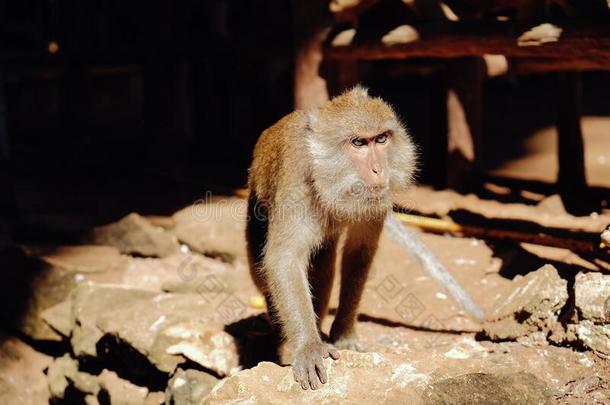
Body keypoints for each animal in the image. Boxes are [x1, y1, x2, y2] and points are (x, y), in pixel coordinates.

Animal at [246, 87, 480, 390]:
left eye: (380, 139)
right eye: (358, 143)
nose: (379, 170)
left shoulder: (376, 200)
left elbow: (359, 253)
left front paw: (343, 335)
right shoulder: (297, 179)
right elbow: (284, 260)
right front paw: (308, 346)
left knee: (323, 265)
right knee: (261, 269)